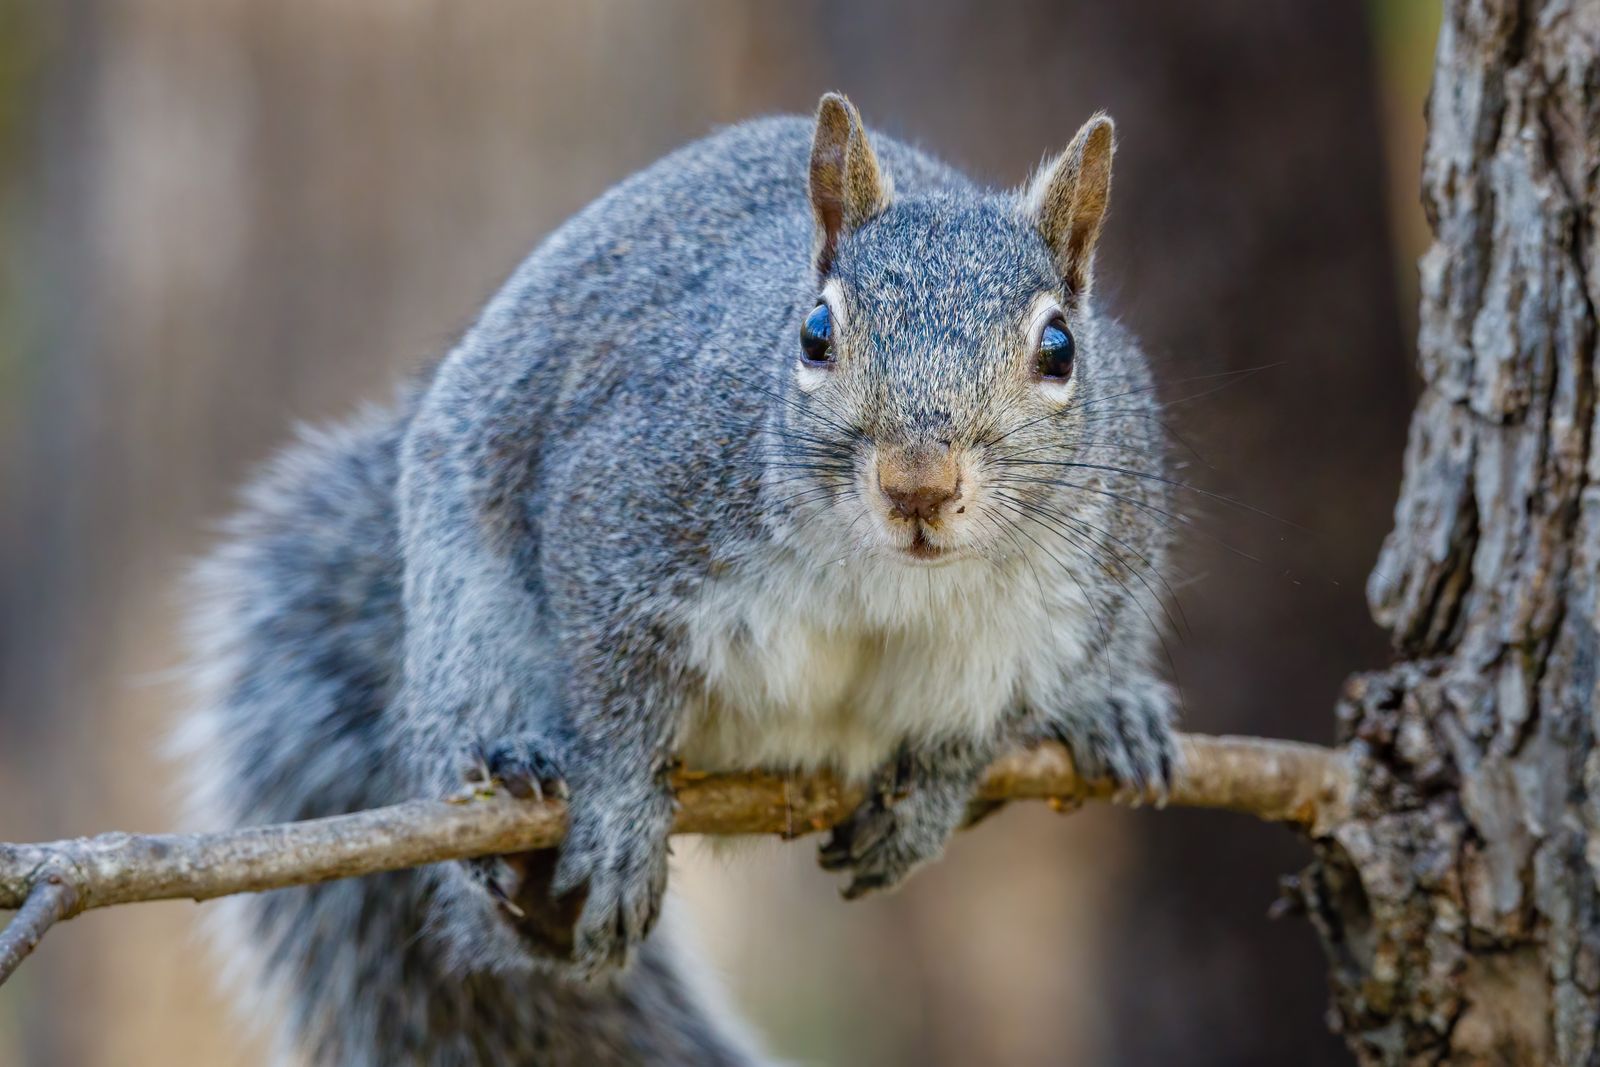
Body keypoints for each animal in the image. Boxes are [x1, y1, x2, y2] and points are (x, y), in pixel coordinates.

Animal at [178, 93, 1177, 1066]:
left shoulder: (1079, 602)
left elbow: (983, 731)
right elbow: (615, 696)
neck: (886, 573)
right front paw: (620, 807)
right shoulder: (620, 507)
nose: (917, 484)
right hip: (465, 615)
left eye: (1059, 348)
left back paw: (1113, 715)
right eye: (815, 333)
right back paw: (531, 852)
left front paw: (930, 798)